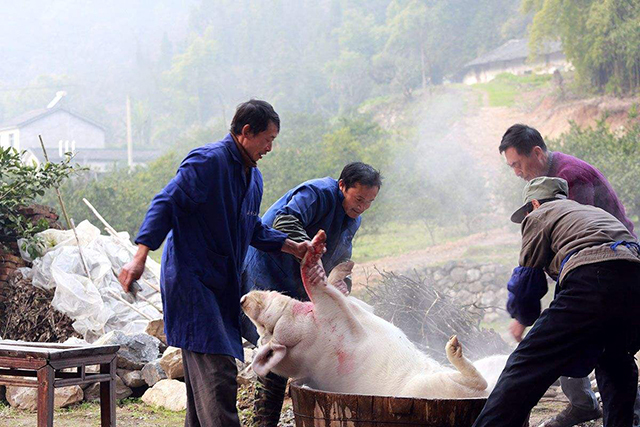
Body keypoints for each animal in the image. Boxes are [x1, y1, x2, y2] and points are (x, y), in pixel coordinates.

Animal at [242, 232, 508, 400]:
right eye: (265, 328)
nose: (243, 300)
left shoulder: (354, 308)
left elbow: (337, 285)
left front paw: (346, 265)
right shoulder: (333, 318)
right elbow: (315, 284)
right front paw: (317, 245)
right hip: (431, 386)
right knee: (476, 383)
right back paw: (453, 347)